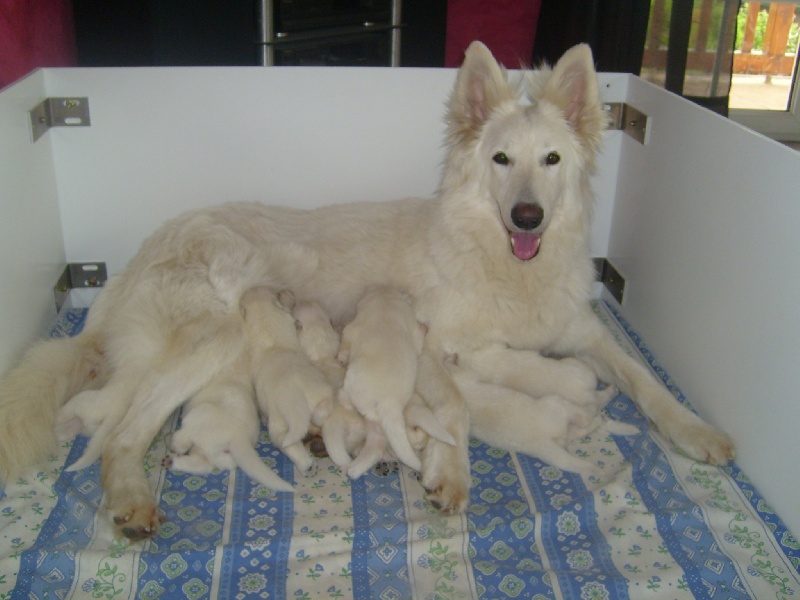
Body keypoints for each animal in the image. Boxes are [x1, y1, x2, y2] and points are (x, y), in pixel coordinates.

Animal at [334, 286, 428, 478]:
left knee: (345, 397)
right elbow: (418, 342)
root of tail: (389, 402)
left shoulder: (352, 329)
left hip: (353, 384)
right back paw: (350, 469)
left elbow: (345, 341)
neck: (386, 303)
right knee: (373, 451)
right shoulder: (413, 332)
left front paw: (341, 357)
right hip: (376, 423)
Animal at [444, 356, 636, 478]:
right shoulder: (467, 376)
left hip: (560, 441)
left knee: (580, 429)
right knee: (587, 414)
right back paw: (601, 407)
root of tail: (544, 440)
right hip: (557, 404)